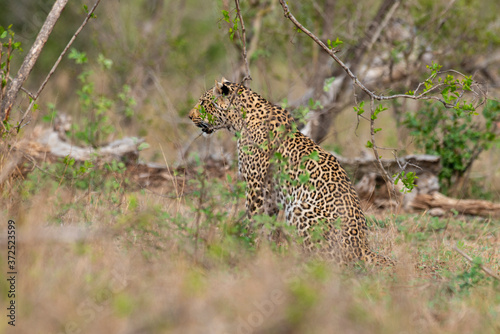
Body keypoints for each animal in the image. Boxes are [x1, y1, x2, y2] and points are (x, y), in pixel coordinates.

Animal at [188, 78, 394, 266]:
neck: (240, 120)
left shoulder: (255, 185)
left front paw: (248, 247)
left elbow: (253, 219)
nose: (189, 116)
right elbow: (267, 224)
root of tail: (362, 249)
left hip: (299, 208)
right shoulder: (271, 194)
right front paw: (264, 249)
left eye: (203, 103)